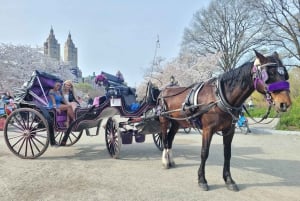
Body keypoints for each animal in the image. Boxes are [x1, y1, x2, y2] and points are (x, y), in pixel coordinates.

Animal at [158, 50, 292, 192]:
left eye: (285, 74)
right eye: (269, 74)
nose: (285, 103)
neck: (219, 97)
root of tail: (165, 90)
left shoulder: (229, 130)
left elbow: (227, 154)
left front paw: (229, 180)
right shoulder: (207, 129)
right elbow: (204, 153)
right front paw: (202, 180)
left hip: (177, 122)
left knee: (170, 139)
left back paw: (171, 161)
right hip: (164, 120)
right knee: (165, 139)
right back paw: (165, 162)